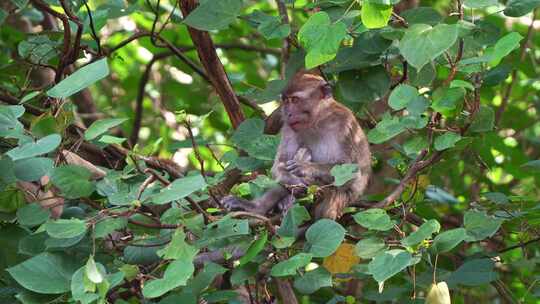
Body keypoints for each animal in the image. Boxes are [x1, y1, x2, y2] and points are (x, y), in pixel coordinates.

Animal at [220, 72, 372, 218]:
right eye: (286, 101)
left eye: (295, 100)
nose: (288, 113)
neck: (317, 121)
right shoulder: (288, 127)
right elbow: (279, 166)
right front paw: (294, 180)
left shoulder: (344, 123)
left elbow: (351, 172)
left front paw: (305, 167)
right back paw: (258, 207)